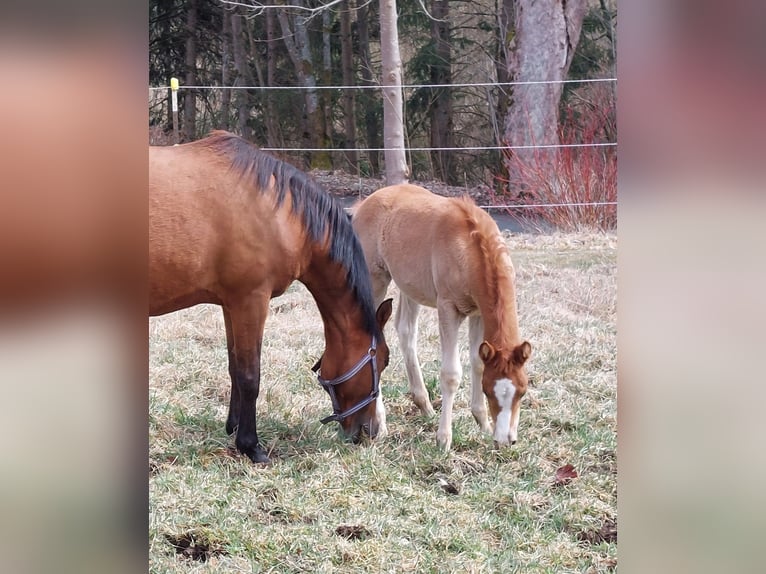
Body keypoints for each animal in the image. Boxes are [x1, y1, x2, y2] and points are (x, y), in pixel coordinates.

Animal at [150, 131, 393, 463]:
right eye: (383, 360)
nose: (369, 431)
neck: (280, 212)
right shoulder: (251, 300)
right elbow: (250, 376)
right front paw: (250, 445)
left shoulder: (230, 303)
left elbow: (234, 367)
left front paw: (233, 426)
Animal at [351, 184, 532, 451]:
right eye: (489, 392)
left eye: (522, 391)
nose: (505, 441)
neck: (469, 248)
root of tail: (362, 205)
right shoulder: (448, 308)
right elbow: (451, 374)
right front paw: (444, 439)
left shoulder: (478, 313)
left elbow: (477, 363)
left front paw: (483, 424)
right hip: (375, 280)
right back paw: (381, 425)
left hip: (410, 286)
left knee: (406, 330)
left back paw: (424, 405)